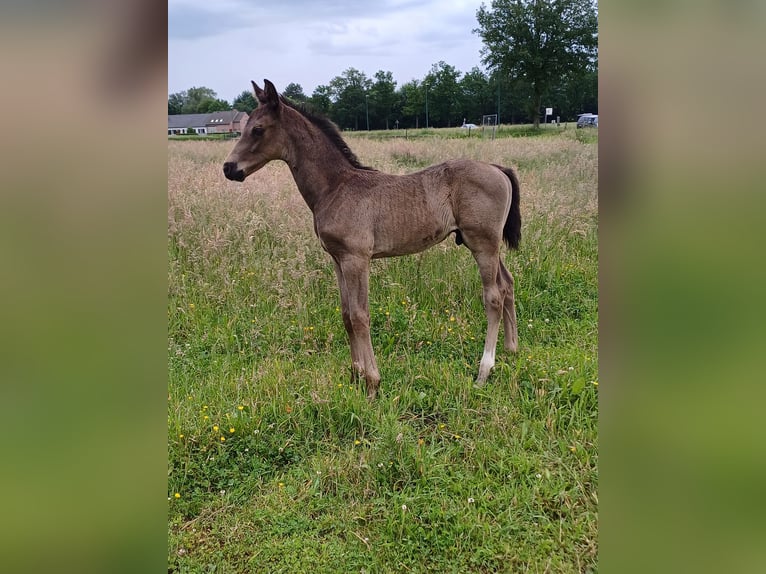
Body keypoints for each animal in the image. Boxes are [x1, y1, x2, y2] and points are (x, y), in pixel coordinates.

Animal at [224, 79, 520, 398]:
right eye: (243, 127)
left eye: (258, 129)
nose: (229, 168)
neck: (335, 187)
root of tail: (498, 168)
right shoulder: (337, 260)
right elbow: (345, 315)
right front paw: (355, 375)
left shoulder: (357, 259)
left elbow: (360, 316)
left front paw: (372, 383)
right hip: (485, 245)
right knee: (507, 285)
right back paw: (511, 350)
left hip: (482, 244)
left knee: (493, 296)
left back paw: (484, 371)